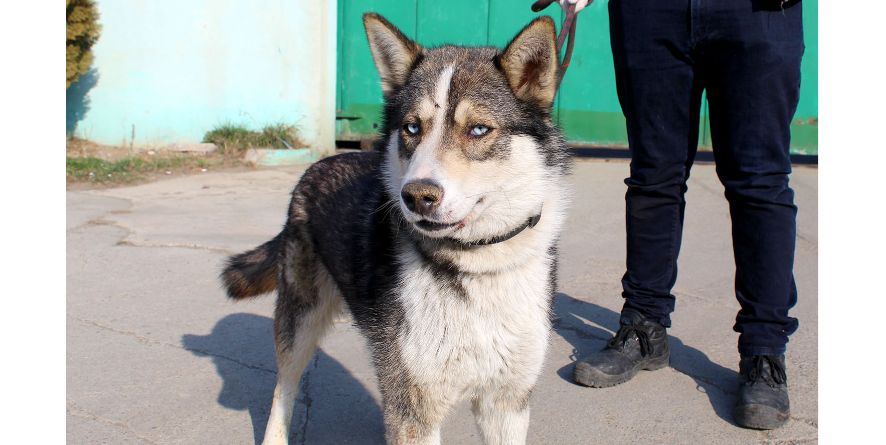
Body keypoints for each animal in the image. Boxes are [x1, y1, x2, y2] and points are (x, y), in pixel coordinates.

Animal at [219, 13, 572, 444]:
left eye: (478, 130)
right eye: (412, 128)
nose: (417, 195)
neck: (475, 264)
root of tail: (319, 164)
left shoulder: (506, 403)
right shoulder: (413, 407)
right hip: (299, 322)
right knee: (283, 388)